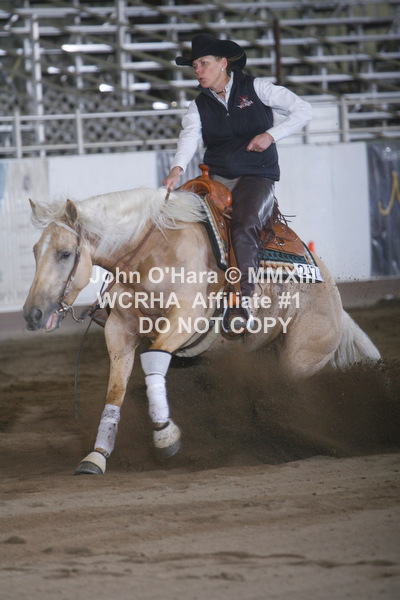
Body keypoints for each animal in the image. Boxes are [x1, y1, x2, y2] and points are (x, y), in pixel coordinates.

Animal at [23, 183, 381, 475]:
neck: (153, 254)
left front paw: (166, 437)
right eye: (35, 250)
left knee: (287, 401)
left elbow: (153, 360)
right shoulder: (120, 331)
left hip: (299, 360)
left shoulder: (185, 320)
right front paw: (97, 455)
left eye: (65, 253)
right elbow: (116, 390)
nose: (32, 314)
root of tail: (334, 297)